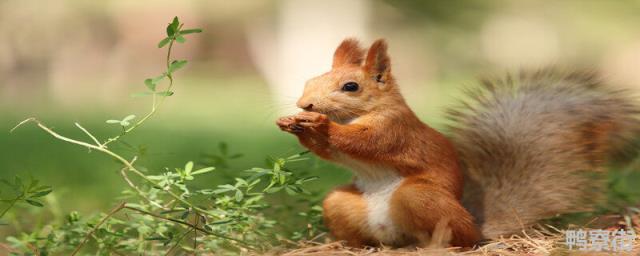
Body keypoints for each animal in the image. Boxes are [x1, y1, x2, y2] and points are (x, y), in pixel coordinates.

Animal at [276, 38, 640, 248]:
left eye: (351, 86)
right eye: (311, 80)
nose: (305, 104)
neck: (367, 112)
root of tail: (479, 228)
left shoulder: (396, 130)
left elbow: (366, 143)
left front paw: (320, 124)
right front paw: (292, 124)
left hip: (421, 198)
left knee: (457, 239)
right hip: (341, 205)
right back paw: (356, 246)